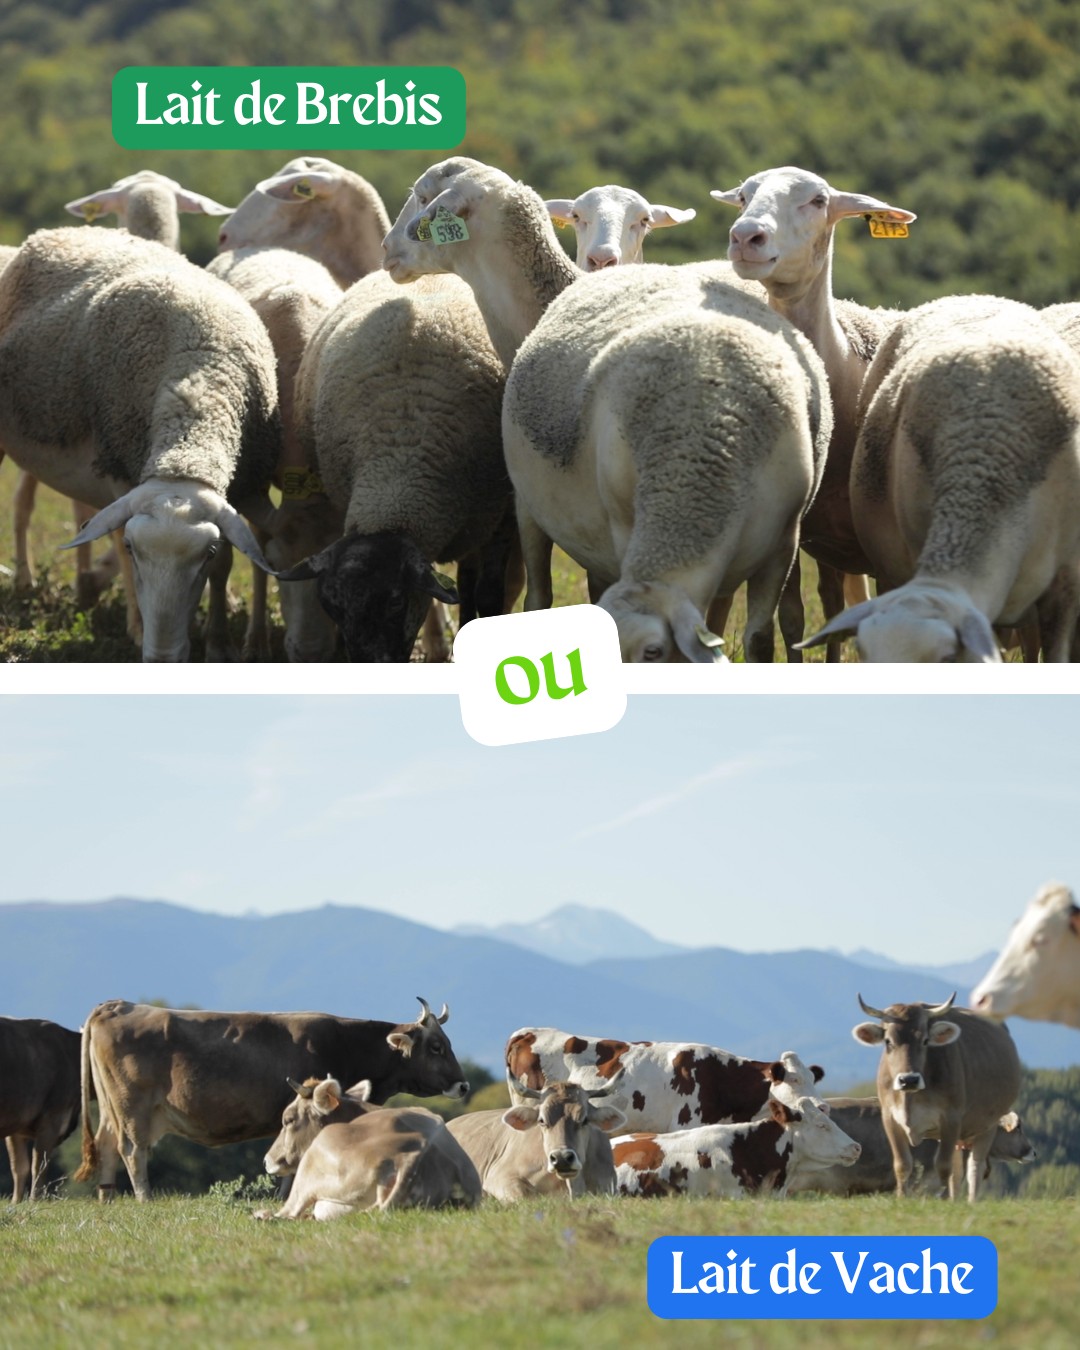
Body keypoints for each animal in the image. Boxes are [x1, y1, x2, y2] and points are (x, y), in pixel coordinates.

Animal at [1, 1017, 81, 1202]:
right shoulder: (52, 1119)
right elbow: (39, 1165)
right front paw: (34, 1200)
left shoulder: (17, 1125)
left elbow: (19, 1167)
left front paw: (16, 1201)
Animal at [74, 996, 468, 1201]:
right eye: (436, 1046)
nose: (464, 1086)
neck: (347, 1042)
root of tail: (117, 1005)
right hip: (133, 1107)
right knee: (132, 1150)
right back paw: (144, 1198)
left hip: (111, 1108)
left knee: (106, 1146)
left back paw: (107, 1198)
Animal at [852, 992, 1021, 1202]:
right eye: (888, 1041)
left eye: (925, 1040)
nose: (909, 1080)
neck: (910, 1098)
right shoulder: (890, 1118)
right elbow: (902, 1164)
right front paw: (902, 1197)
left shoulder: (951, 1118)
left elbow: (943, 1164)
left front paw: (943, 1198)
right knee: (958, 1168)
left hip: (988, 1124)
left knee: (975, 1166)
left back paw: (970, 1201)